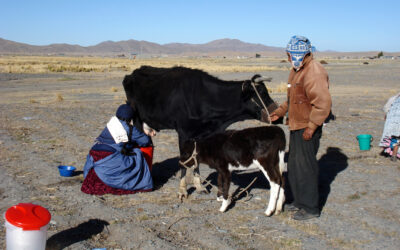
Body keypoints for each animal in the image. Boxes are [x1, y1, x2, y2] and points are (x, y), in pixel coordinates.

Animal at [123, 65, 280, 198]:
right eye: (261, 93)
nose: (279, 116)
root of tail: (133, 73)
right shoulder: (184, 133)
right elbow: (184, 162)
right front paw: (182, 191)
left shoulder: (200, 136)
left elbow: (196, 160)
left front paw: (199, 187)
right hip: (136, 120)